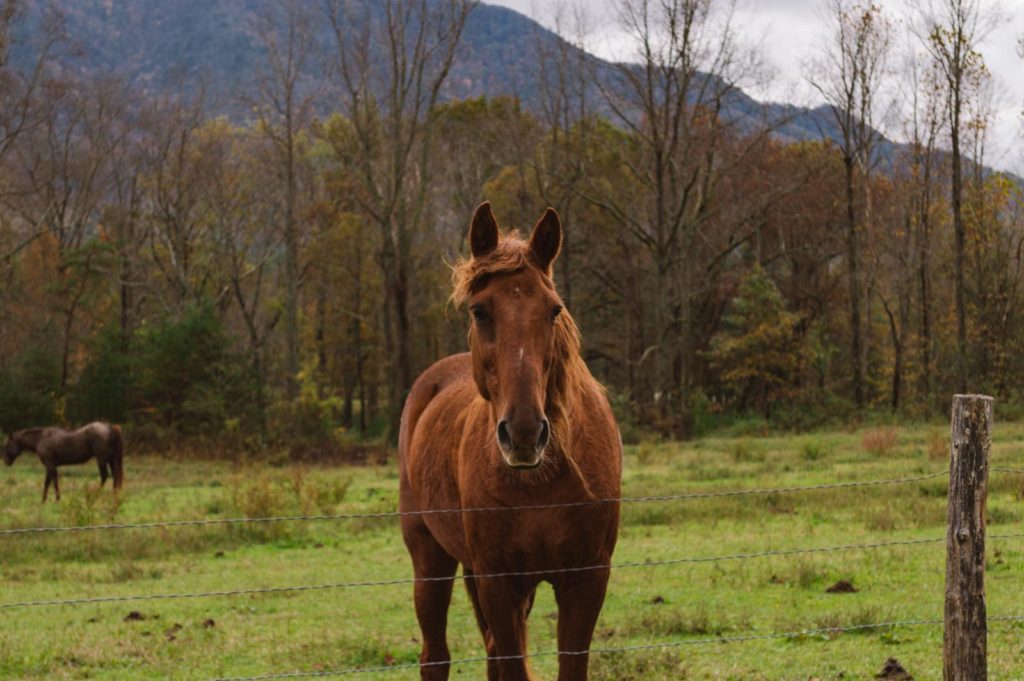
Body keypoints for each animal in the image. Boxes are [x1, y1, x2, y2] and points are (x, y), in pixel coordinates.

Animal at [397, 202, 618, 679]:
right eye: (480, 311)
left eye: (553, 310)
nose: (523, 433)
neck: (542, 481)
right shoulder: (499, 582)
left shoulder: (586, 580)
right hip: (430, 560)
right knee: (435, 656)